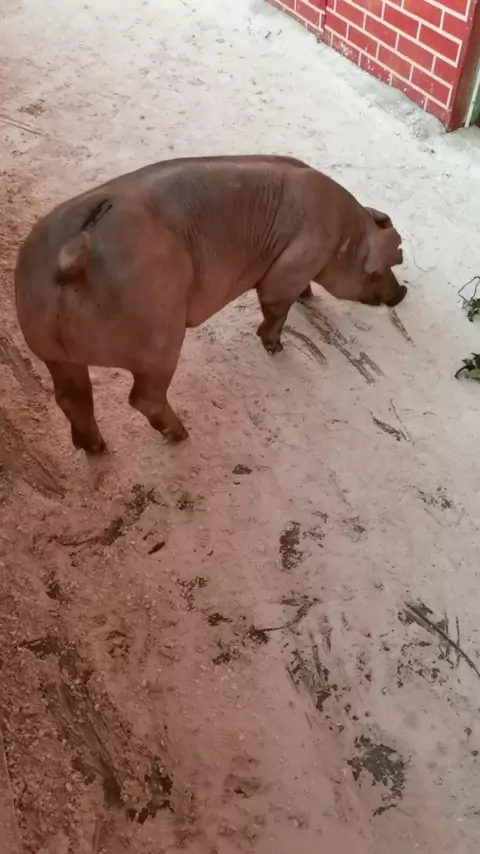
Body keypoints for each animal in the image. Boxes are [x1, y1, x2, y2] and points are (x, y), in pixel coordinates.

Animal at [15, 154, 406, 453]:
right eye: (382, 268)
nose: (401, 293)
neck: (344, 234)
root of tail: (73, 256)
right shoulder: (290, 269)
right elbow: (276, 307)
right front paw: (277, 347)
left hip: (50, 348)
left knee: (72, 398)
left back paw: (94, 448)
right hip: (159, 337)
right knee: (143, 397)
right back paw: (181, 435)